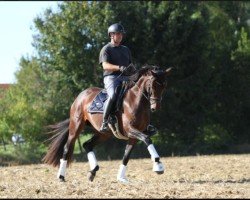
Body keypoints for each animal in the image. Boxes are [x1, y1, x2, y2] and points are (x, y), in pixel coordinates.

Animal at [42, 65, 172, 183]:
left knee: (87, 145)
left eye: (164, 85)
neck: (135, 101)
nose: (156, 107)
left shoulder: (133, 136)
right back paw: (61, 177)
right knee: (67, 148)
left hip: (104, 134)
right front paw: (158, 165)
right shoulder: (130, 129)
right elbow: (147, 139)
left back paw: (93, 171)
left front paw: (121, 178)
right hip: (76, 127)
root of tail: (81, 95)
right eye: (153, 85)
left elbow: (126, 156)